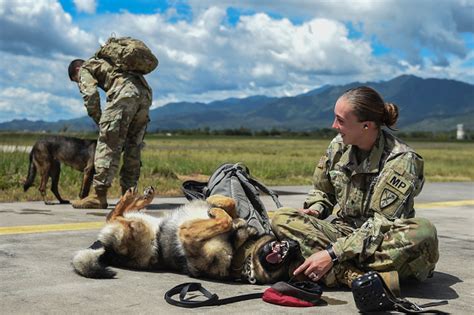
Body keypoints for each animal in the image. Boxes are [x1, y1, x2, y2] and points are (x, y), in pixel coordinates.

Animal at [71, 186, 300, 286]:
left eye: (291, 264)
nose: (296, 245)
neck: (240, 250)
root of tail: (104, 248)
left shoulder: (187, 233)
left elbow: (224, 220)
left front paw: (217, 212)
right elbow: (230, 205)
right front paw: (216, 203)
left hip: (136, 229)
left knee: (114, 216)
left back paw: (133, 196)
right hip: (141, 222)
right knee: (115, 213)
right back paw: (141, 196)